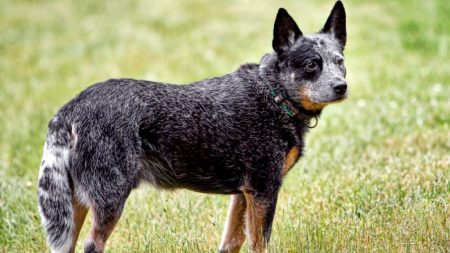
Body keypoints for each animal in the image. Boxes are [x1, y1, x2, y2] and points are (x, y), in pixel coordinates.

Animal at [37, 0, 348, 252]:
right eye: (311, 65)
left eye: (340, 62)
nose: (342, 86)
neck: (274, 95)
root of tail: (70, 109)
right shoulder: (264, 188)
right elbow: (259, 244)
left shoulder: (243, 195)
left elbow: (232, 242)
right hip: (109, 198)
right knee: (92, 244)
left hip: (72, 206)